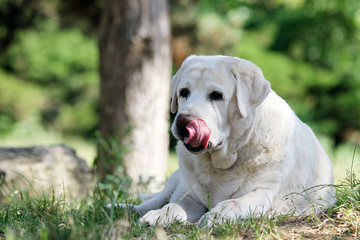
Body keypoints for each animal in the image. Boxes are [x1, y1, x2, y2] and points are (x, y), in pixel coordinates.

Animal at [131, 54, 334, 227]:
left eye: (216, 95)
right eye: (183, 92)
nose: (183, 121)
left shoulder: (263, 192)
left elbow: (233, 202)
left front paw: (216, 215)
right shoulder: (188, 194)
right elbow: (173, 205)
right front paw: (159, 215)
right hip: (175, 180)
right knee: (152, 201)